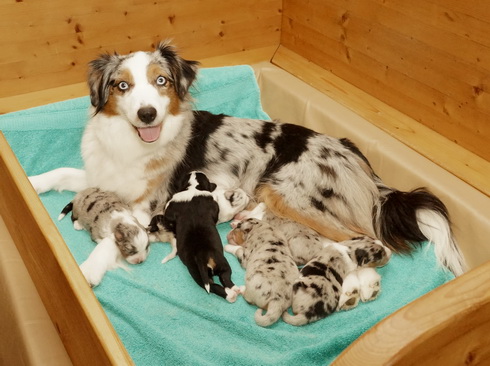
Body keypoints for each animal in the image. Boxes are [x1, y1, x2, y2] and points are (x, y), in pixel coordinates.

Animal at [28, 40, 466, 274]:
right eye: (122, 86)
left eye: (161, 82)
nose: (147, 113)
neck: (133, 141)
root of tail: (356, 158)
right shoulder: (103, 175)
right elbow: (61, 172)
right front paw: (30, 183)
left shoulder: (145, 205)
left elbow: (113, 236)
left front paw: (86, 272)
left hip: (288, 196)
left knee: (366, 239)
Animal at [150, 172, 240, 304]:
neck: (193, 187)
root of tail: (202, 257)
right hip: (216, 265)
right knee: (223, 280)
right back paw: (234, 291)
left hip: (201, 271)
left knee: (216, 284)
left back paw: (233, 293)